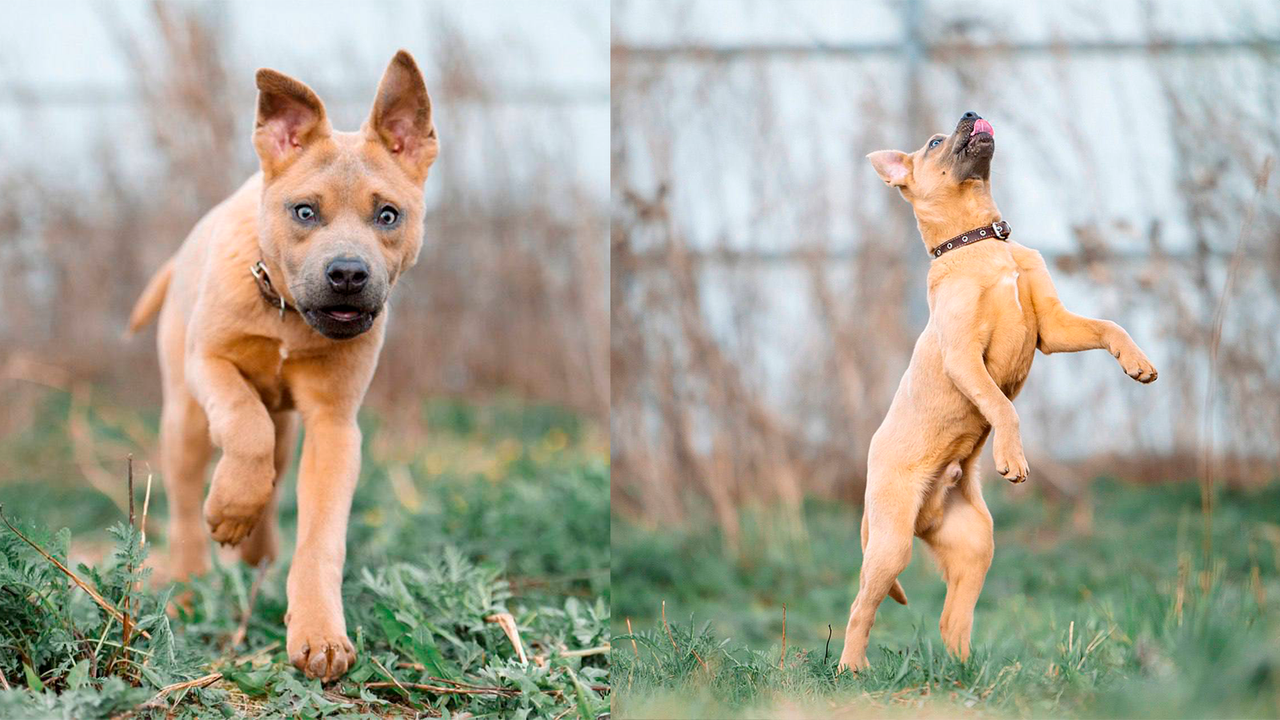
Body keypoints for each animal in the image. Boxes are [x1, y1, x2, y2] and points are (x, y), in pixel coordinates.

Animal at [129, 50, 440, 676]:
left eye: (388, 216)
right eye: (304, 212)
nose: (348, 274)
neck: (285, 315)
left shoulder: (333, 427)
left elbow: (321, 537)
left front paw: (319, 633)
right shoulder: (211, 363)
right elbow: (242, 424)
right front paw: (228, 506)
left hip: (288, 427)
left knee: (272, 484)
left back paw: (256, 550)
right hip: (184, 418)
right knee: (187, 503)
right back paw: (191, 581)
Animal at [839, 110, 1162, 666]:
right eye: (934, 142)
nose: (971, 113)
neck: (980, 242)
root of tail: (926, 511)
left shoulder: (1053, 327)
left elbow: (1108, 326)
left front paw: (1136, 362)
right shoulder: (966, 358)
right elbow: (1001, 406)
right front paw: (1012, 458)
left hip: (975, 548)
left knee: (952, 621)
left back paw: (964, 671)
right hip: (890, 544)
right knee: (861, 609)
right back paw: (851, 669)